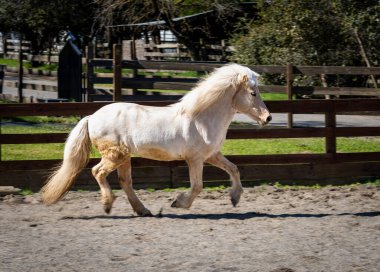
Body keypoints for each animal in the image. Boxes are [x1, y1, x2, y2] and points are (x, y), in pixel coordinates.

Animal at [40, 63, 270, 215]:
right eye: (253, 93)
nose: (267, 118)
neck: (201, 119)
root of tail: (91, 117)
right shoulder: (195, 159)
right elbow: (197, 186)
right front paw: (178, 203)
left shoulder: (212, 155)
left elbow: (234, 169)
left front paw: (235, 198)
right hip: (114, 155)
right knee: (98, 172)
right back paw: (107, 204)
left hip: (124, 157)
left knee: (125, 181)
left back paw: (143, 210)